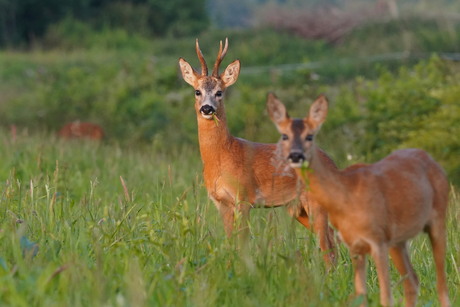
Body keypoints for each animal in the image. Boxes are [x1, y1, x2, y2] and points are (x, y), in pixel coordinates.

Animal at [178, 38, 336, 264]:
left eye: (220, 92)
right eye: (197, 91)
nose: (207, 108)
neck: (222, 156)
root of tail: (332, 162)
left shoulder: (244, 197)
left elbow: (243, 243)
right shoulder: (221, 202)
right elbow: (230, 242)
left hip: (315, 200)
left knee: (328, 244)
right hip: (298, 208)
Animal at [268, 92, 452, 306]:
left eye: (310, 136)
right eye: (284, 135)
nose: (295, 155)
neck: (346, 196)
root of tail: (432, 160)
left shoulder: (377, 240)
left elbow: (385, 296)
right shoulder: (354, 245)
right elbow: (360, 295)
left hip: (437, 220)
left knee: (441, 283)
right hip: (398, 240)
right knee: (412, 281)